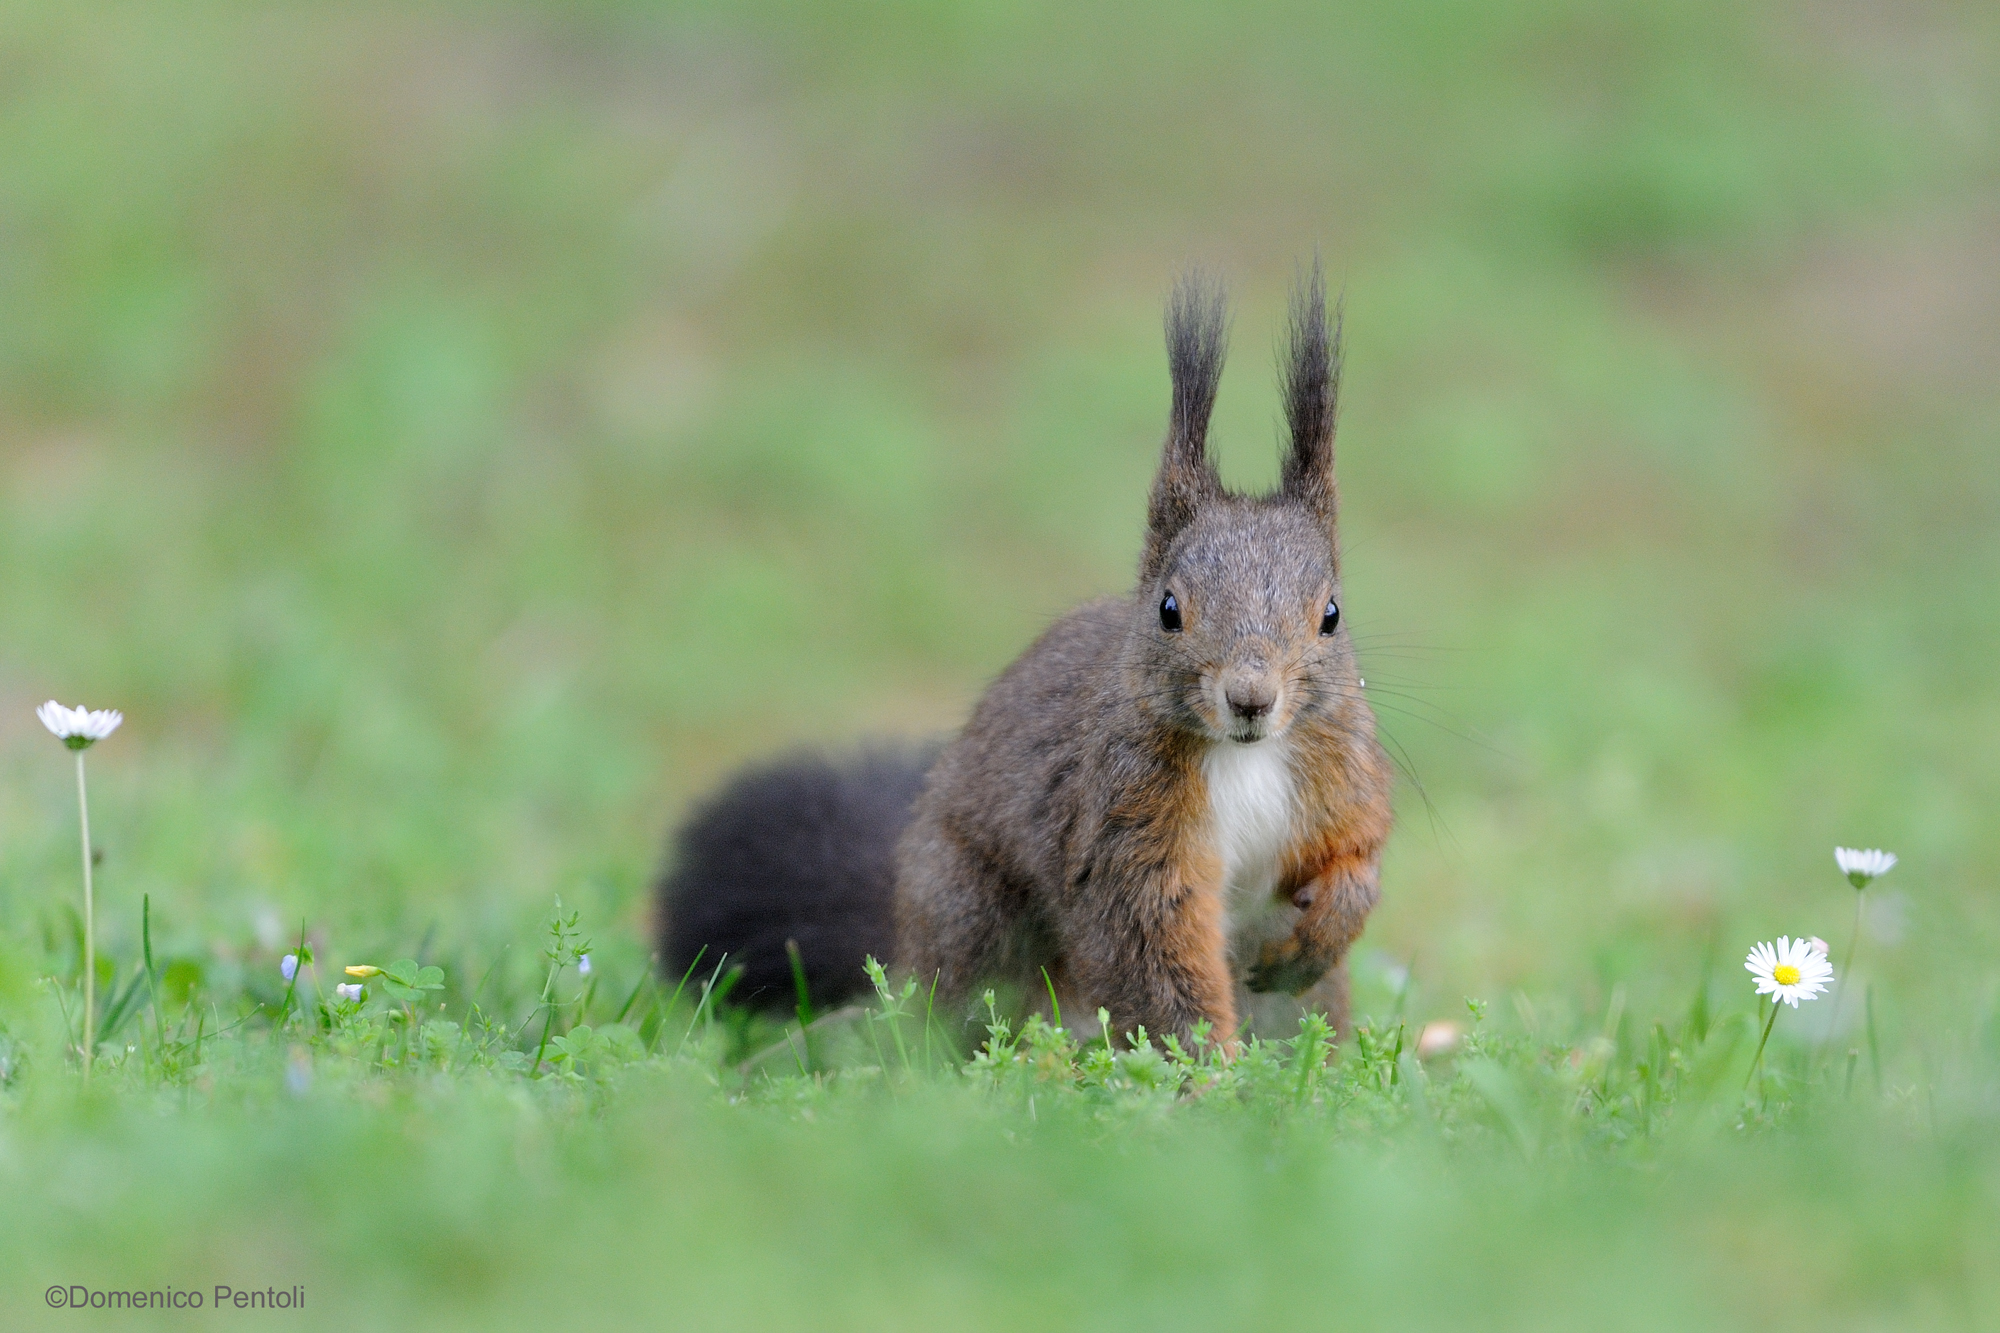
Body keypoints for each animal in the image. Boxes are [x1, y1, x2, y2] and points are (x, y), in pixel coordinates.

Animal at [656, 262, 1392, 1043]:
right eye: (1169, 609)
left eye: (1331, 616)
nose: (1251, 698)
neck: (1247, 755)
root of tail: (907, 953)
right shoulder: (1122, 830)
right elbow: (1155, 957)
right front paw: (1201, 1068)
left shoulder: (1340, 771)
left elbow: (1358, 851)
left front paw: (1331, 921)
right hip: (977, 917)